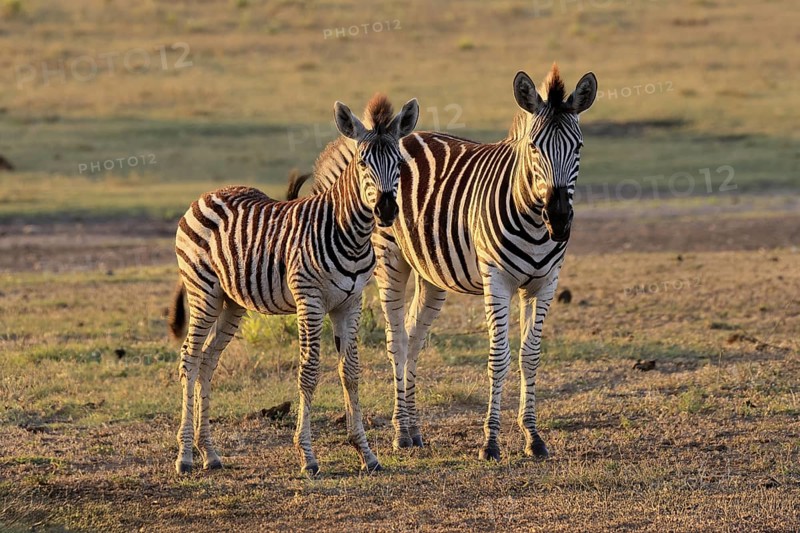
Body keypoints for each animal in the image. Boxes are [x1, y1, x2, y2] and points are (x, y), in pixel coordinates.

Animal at [167, 94, 419, 476]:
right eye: (363, 162)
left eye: (400, 164)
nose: (387, 210)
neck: (349, 231)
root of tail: (206, 195)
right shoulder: (310, 300)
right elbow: (310, 372)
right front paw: (307, 456)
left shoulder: (351, 302)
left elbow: (351, 372)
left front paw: (366, 453)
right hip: (203, 292)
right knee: (190, 359)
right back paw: (184, 457)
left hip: (232, 302)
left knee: (208, 361)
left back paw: (209, 452)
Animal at [293, 65, 597, 461]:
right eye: (534, 147)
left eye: (578, 147)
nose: (559, 220)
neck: (532, 216)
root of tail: (400, 133)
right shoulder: (497, 279)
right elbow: (498, 357)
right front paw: (490, 442)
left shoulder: (546, 282)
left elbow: (530, 356)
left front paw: (533, 437)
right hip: (390, 260)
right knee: (397, 340)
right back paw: (400, 433)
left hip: (432, 274)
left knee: (413, 336)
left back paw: (413, 429)